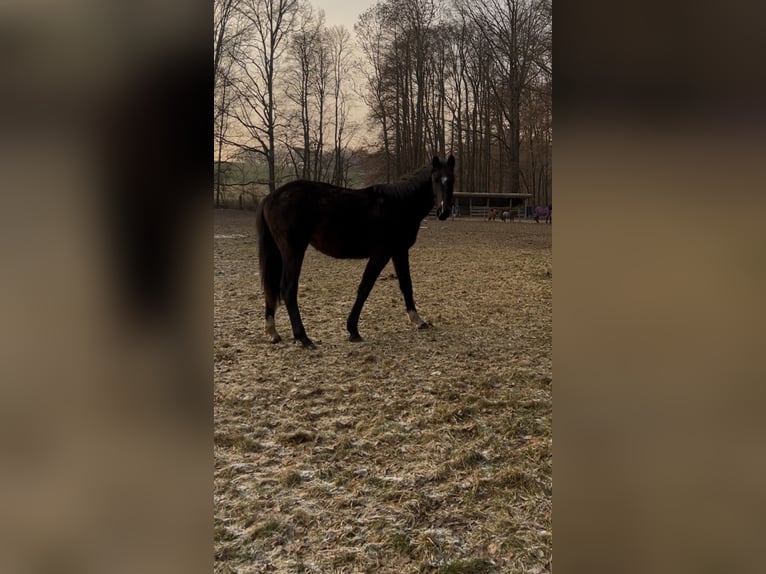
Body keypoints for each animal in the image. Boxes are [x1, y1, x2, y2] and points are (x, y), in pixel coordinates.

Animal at [255, 155, 456, 348]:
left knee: (272, 288)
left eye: (452, 179)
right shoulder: (381, 253)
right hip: (294, 251)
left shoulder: (399, 251)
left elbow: (406, 284)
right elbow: (365, 287)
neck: (398, 204)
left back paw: (273, 332)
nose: (444, 211)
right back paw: (303, 338)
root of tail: (270, 197)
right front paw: (353, 330)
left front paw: (417, 320)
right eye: (435, 179)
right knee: (288, 289)